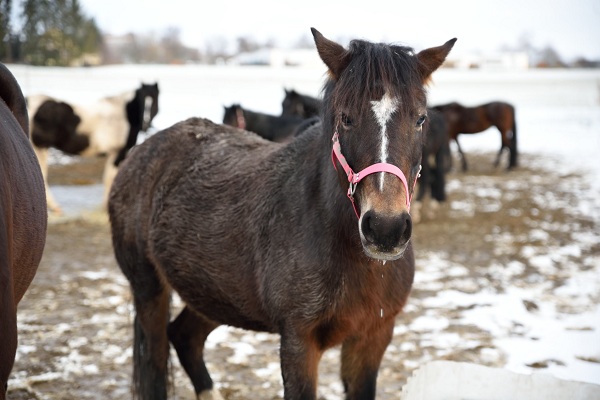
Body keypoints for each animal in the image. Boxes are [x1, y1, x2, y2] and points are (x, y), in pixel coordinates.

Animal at [27, 83, 159, 214]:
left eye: (154, 99)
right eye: (141, 99)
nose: (146, 123)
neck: (125, 114)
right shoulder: (118, 152)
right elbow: (109, 178)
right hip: (40, 148)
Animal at [108, 26, 454, 398]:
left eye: (420, 119)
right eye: (346, 118)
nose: (386, 229)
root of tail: (142, 153)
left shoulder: (373, 338)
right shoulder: (298, 342)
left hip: (212, 291)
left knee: (186, 337)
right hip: (149, 290)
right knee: (157, 362)